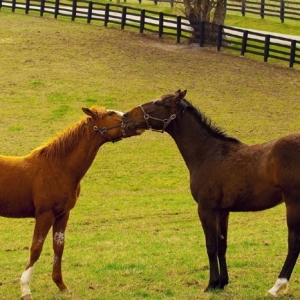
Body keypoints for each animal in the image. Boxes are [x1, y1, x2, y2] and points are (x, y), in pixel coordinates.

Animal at [0, 106, 143, 298]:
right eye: (111, 114)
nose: (138, 121)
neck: (58, 167)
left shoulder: (63, 214)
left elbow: (58, 247)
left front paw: (61, 285)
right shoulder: (45, 215)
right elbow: (36, 248)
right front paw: (25, 290)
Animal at [122, 89, 300, 298]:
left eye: (158, 103)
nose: (125, 116)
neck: (208, 153)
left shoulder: (206, 208)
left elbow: (210, 245)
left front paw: (212, 283)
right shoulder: (222, 211)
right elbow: (222, 245)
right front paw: (223, 282)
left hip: (293, 203)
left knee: (294, 243)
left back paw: (276, 286)